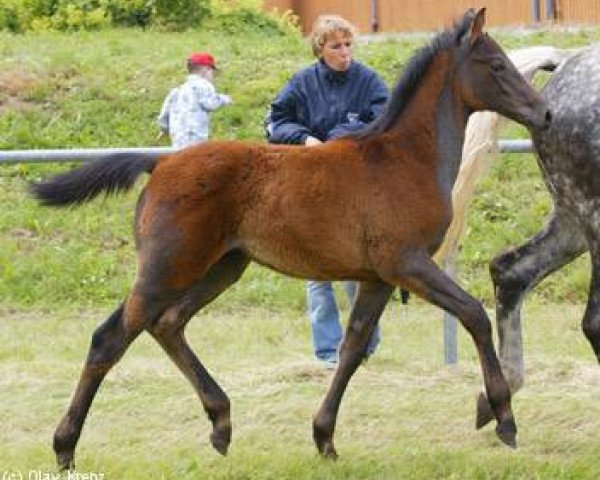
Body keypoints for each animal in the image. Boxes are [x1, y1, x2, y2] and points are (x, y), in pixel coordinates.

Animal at [31, 9, 548, 470]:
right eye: (496, 65)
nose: (543, 112)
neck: (405, 157)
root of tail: (160, 163)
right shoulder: (408, 263)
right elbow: (473, 314)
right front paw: (502, 416)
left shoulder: (377, 277)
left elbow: (353, 347)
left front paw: (324, 437)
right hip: (167, 267)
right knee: (110, 337)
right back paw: (64, 446)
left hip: (223, 266)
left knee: (168, 324)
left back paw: (221, 423)